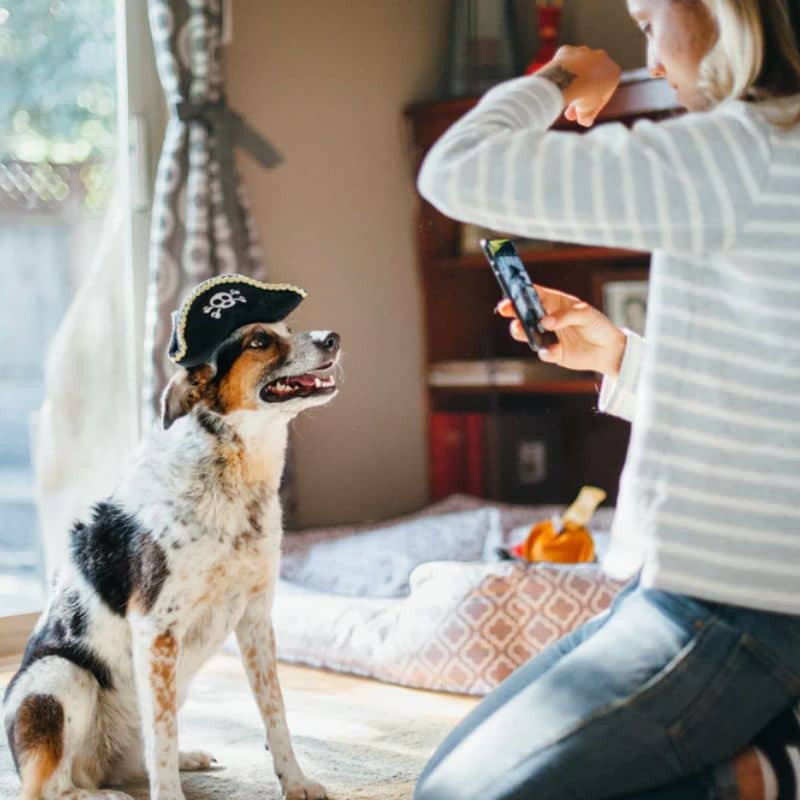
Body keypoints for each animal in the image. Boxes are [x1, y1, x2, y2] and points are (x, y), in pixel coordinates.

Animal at [3, 286, 340, 792]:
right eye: (260, 341)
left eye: (287, 329)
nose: (332, 337)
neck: (235, 475)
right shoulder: (157, 629)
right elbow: (161, 737)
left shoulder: (256, 620)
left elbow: (274, 714)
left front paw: (295, 782)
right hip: (61, 675)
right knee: (51, 788)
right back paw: (106, 797)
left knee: (133, 762)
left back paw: (185, 759)